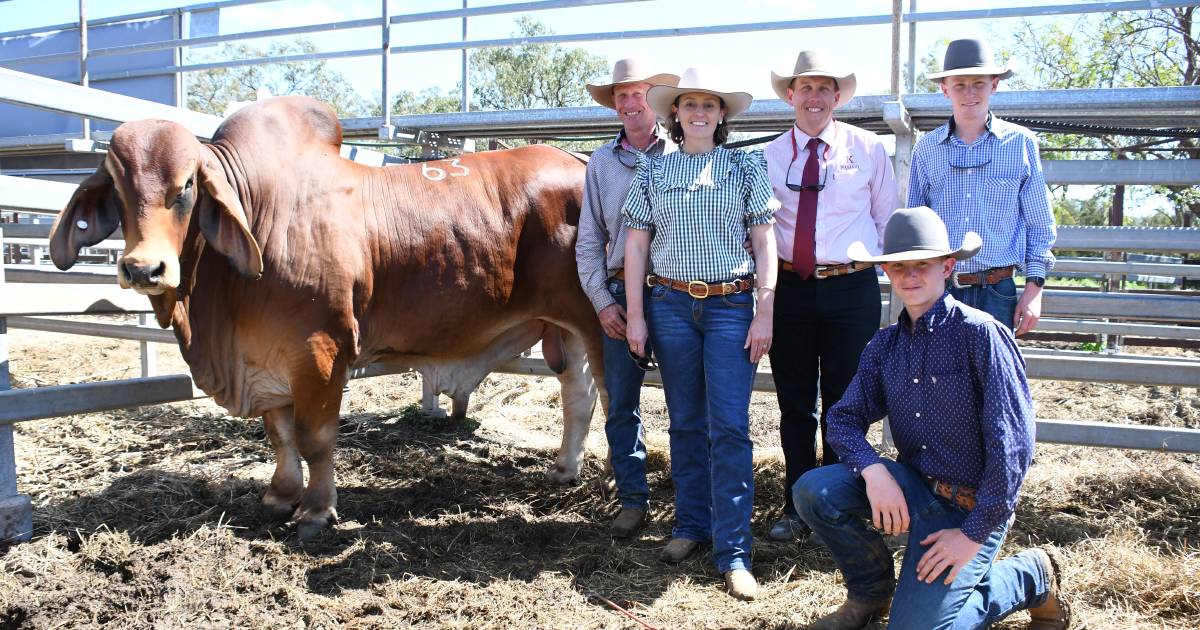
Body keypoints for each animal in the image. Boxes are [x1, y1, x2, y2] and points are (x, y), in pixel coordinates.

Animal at [50, 96, 604, 537]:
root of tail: (581, 160)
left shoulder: (320, 349)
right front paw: (279, 496)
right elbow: (280, 436)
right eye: (116, 188)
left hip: (599, 325)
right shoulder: (267, 358)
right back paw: (564, 469)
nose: (144, 268)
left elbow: (315, 439)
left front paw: (316, 511)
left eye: (185, 185)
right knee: (578, 399)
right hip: (567, 332)